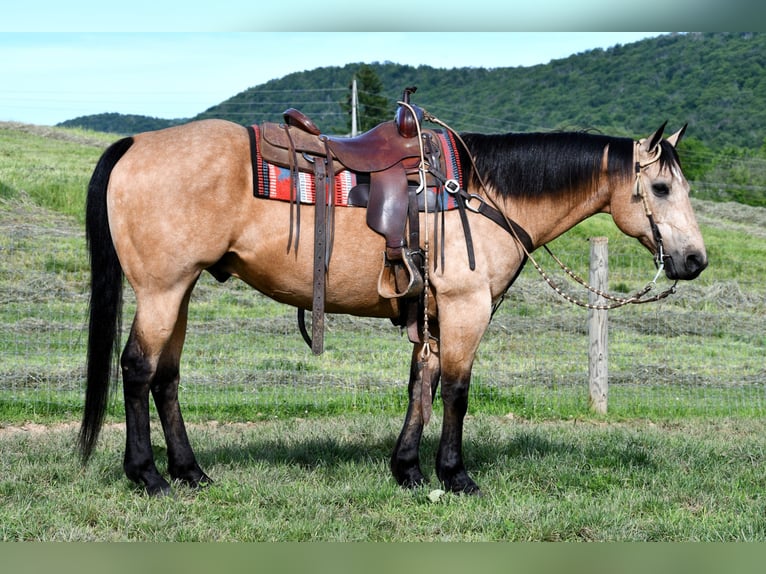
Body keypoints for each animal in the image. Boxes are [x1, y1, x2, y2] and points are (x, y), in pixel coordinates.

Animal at [78, 106, 708, 498]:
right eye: (659, 188)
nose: (694, 259)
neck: (482, 194)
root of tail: (137, 144)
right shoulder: (465, 307)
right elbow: (455, 391)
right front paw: (455, 476)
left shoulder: (431, 312)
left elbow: (419, 386)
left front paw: (407, 470)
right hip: (162, 291)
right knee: (137, 368)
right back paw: (148, 476)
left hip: (179, 291)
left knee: (166, 378)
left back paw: (191, 472)